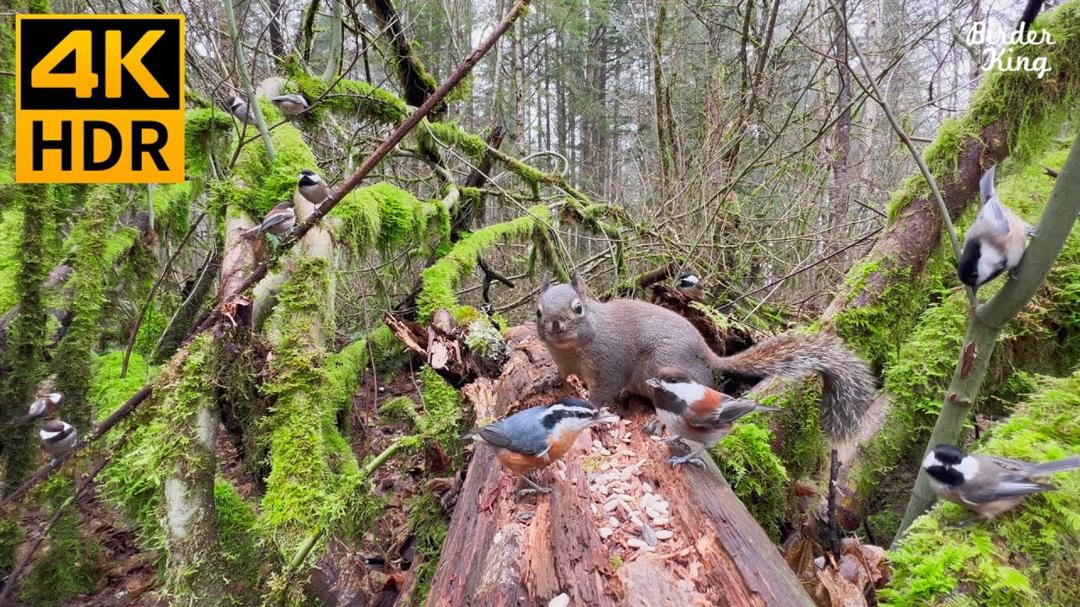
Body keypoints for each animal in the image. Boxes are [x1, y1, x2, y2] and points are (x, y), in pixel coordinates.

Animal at [535, 272, 875, 440]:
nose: (555, 325)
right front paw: (546, 381)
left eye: (578, 308)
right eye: (538, 310)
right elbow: (561, 375)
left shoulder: (610, 362)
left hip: (664, 366)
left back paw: (657, 420)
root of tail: (709, 356)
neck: (573, 349)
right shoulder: (563, 361)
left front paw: (590, 407)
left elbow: (603, 391)